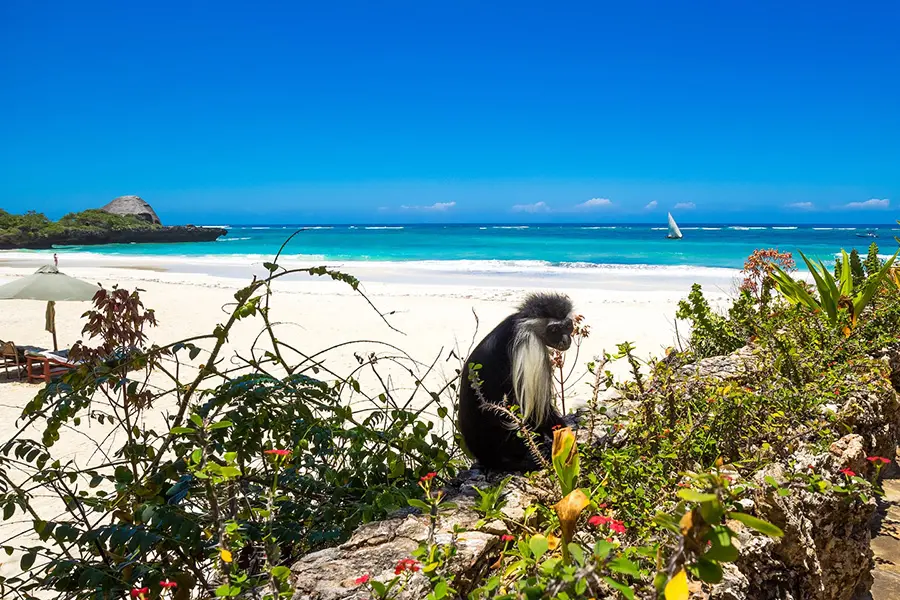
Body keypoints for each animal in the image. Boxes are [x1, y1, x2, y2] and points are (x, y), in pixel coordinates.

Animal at [457, 292, 576, 472]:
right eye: (554, 329)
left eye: (568, 326)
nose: (565, 339)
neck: (523, 324)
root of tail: (488, 457)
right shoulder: (530, 348)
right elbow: (537, 410)